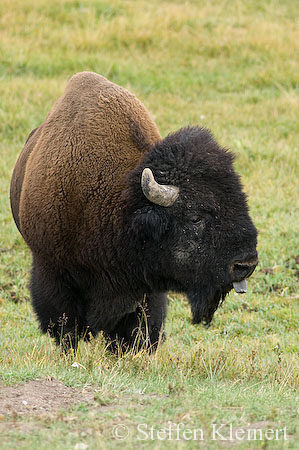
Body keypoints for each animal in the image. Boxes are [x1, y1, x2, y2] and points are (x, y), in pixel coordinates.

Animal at [9, 71, 258, 352]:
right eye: (195, 218)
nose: (246, 264)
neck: (123, 206)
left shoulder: (146, 288)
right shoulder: (52, 270)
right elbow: (66, 327)